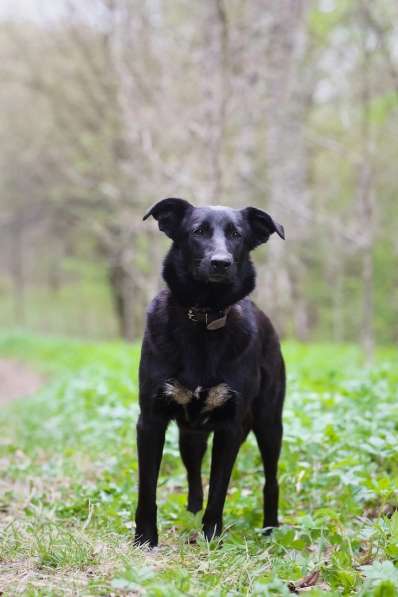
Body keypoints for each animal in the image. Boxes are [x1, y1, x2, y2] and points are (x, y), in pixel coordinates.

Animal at [135, 199, 284, 544]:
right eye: (198, 231)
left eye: (237, 234)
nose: (221, 263)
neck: (203, 316)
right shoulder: (150, 421)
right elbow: (147, 488)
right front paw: (145, 538)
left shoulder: (230, 428)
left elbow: (219, 489)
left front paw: (211, 538)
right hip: (191, 436)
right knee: (193, 474)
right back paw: (191, 510)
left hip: (270, 423)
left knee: (271, 480)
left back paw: (270, 528)